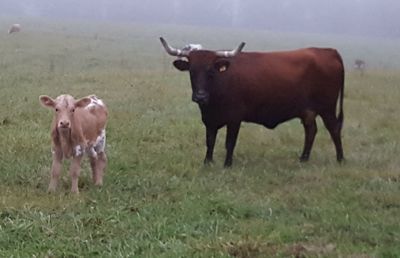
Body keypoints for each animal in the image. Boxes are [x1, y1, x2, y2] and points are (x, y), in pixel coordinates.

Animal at [159, 37, 344, 167]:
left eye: (211, 71)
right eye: (192, 71)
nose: (200, 96)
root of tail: (330, 51)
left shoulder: (234, 118)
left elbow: (230, 142)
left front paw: (227, 165)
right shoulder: (209, 119)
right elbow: (210, 141)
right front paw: (207, 162)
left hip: (327, 108)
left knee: (334, 128)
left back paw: (340, 159)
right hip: (307, 111)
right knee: (311, 130)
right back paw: (303, 159)